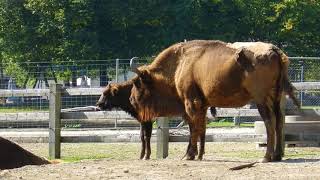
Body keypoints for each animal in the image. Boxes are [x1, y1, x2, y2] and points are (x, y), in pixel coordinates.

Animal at [129, 40, 298, 162]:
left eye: (138, 83)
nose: (131, 99)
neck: (180, 63)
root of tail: (274, 50)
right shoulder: (202, 105)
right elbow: (201, 128)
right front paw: (199, 155)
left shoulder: (191, 103)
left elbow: (194, 128)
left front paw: (189, 155)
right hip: (276, 98)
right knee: (279, 121)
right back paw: (277, 156)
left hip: (261, 99)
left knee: (269, 122)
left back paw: (266, 157)